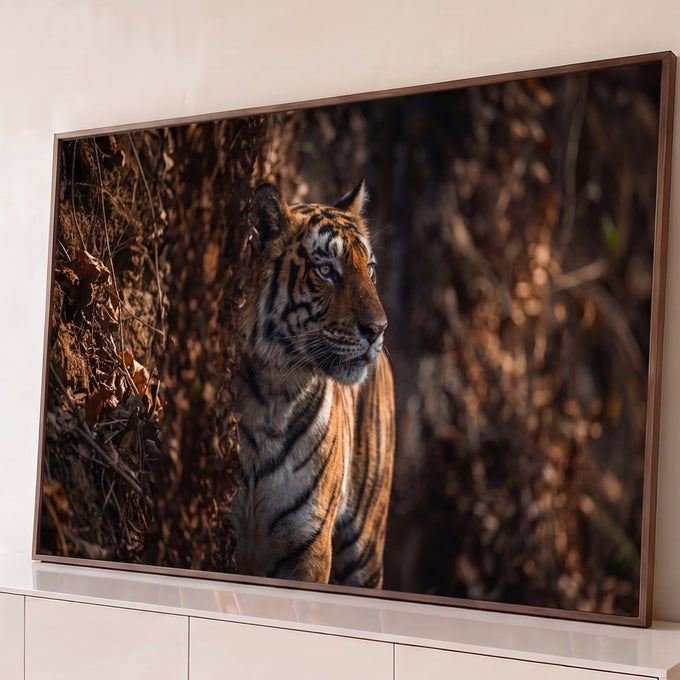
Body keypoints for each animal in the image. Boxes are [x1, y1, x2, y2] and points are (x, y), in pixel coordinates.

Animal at [232, 180, 395, 589]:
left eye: (370, 269)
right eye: (325, 270)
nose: (378, 329)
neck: (273, 398)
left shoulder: (309, 546)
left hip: (365, 546)